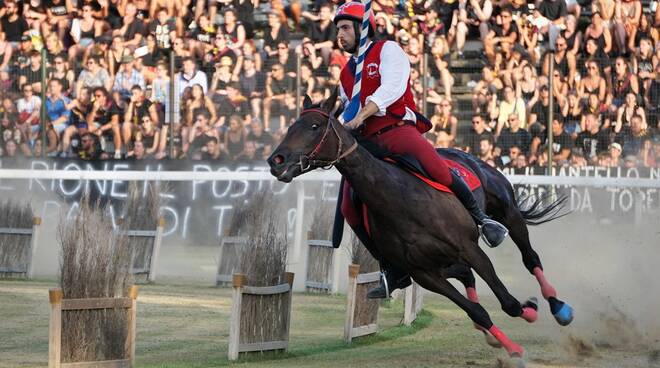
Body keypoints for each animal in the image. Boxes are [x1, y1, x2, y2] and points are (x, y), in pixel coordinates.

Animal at [268, 90, 572, 358]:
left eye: (314, 126)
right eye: (291, 126)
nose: (276, 160)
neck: (400, 199)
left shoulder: (470, 249)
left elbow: (507, 301)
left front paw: (527, 314)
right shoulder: (424, 273)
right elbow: (477, 311)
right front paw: (509, 342)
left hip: (508, 213)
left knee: (529, 257)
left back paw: (558, 306)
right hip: (443, 262)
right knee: (467, 276)